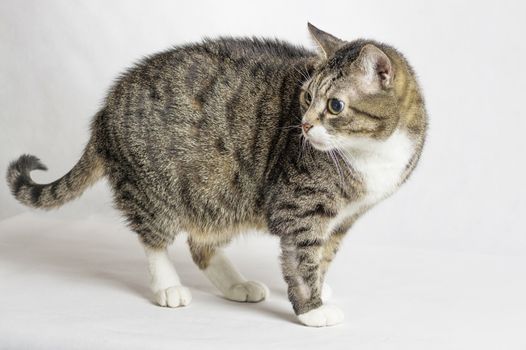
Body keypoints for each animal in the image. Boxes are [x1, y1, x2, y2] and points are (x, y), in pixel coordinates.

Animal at [7, 24, 428, 328]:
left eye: (336, 106)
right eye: (307, 97)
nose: (305, 126)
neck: (371, 152)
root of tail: (103, 111)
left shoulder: (343, 220)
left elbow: (323, 257)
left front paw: (321, 290)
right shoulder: (298, 207)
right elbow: (304, 258)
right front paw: (312, 308)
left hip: (222, 195)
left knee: (201, 244)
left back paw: (236, 284)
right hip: (156, 188)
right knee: (154, 239)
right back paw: (168, 286)